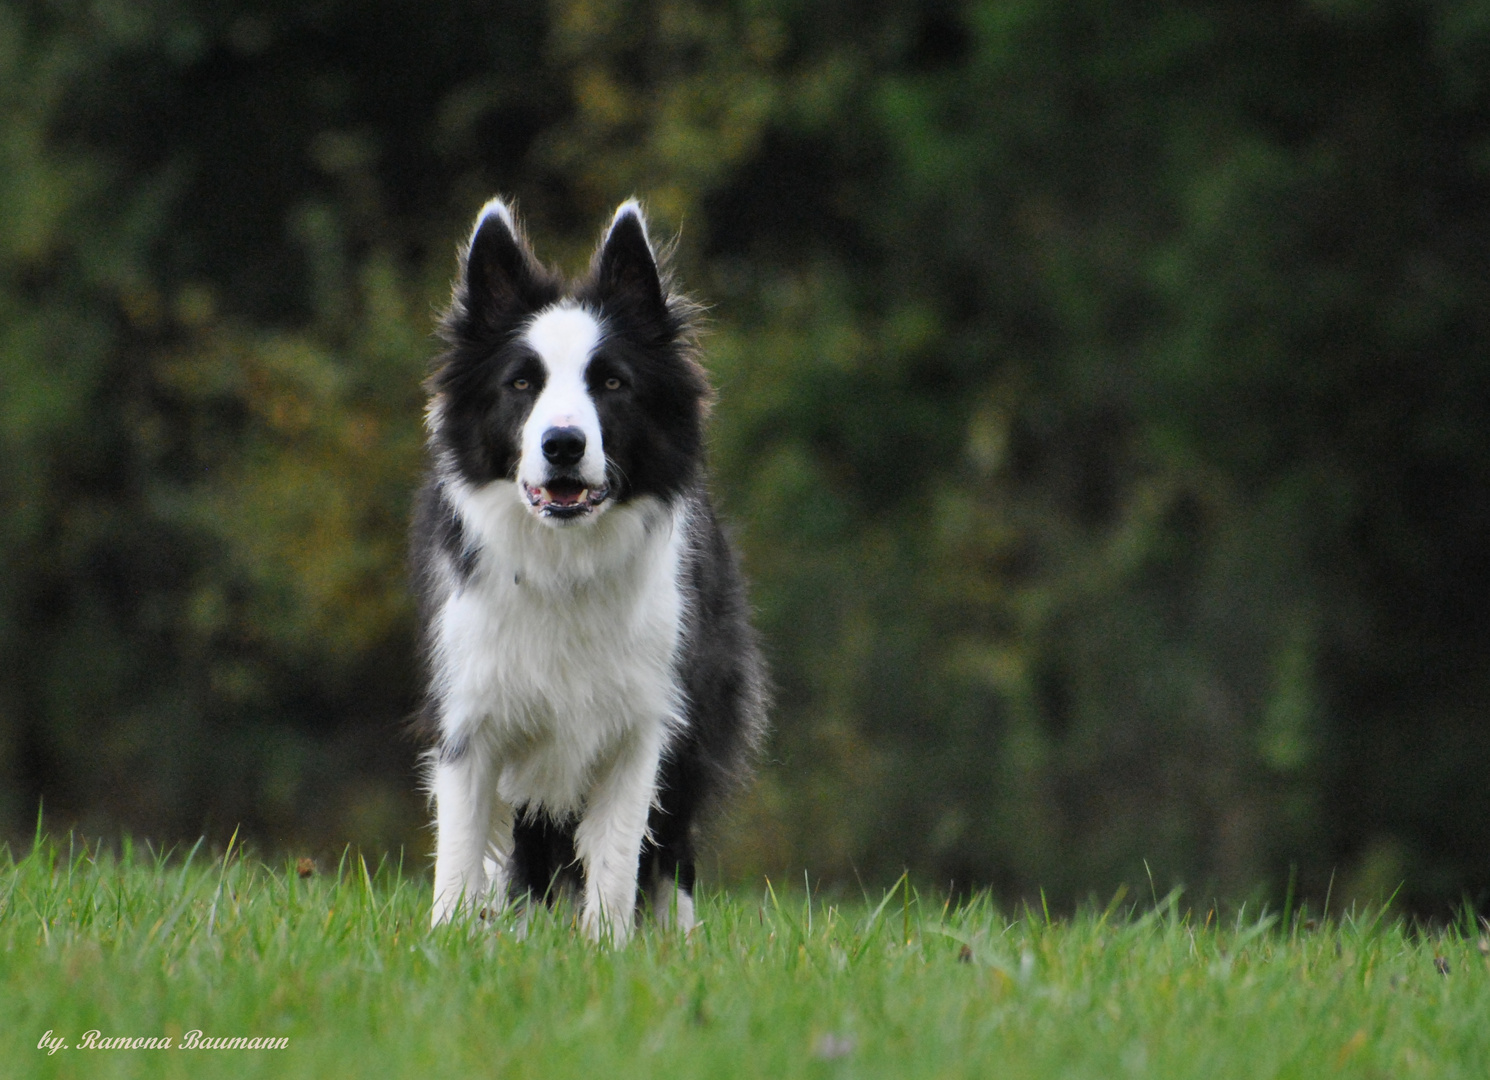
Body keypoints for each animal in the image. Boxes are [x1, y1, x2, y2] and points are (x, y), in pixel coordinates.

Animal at [411, 198, 768, 941]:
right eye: (522, 383)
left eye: (612, 383)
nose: (564, 445)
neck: (562, 562)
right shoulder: (470, 717)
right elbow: (460, 851)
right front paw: (449, 940)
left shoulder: (642, 725)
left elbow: (617, 858)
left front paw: (606, 948)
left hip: (696, 727)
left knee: (672, 851)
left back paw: (676, 939)